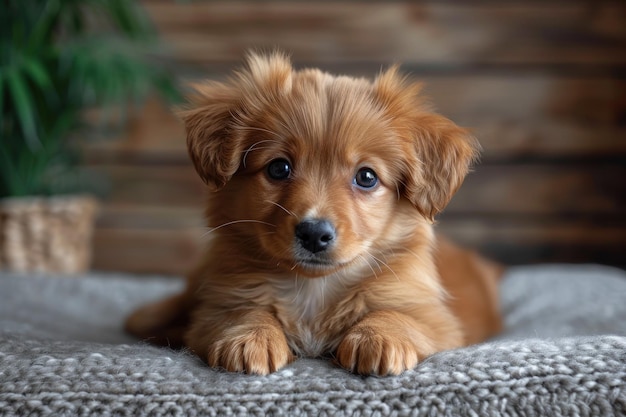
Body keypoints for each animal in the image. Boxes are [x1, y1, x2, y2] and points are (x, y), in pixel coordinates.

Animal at [124, 51, 500, 374]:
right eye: (278, 168)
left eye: (366, 177)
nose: (314, 233)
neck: (313, 290)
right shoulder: (218, 305)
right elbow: (241, 311)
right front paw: (250, 337)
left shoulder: (438, 321)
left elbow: (401, 316)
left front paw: (379, 336)